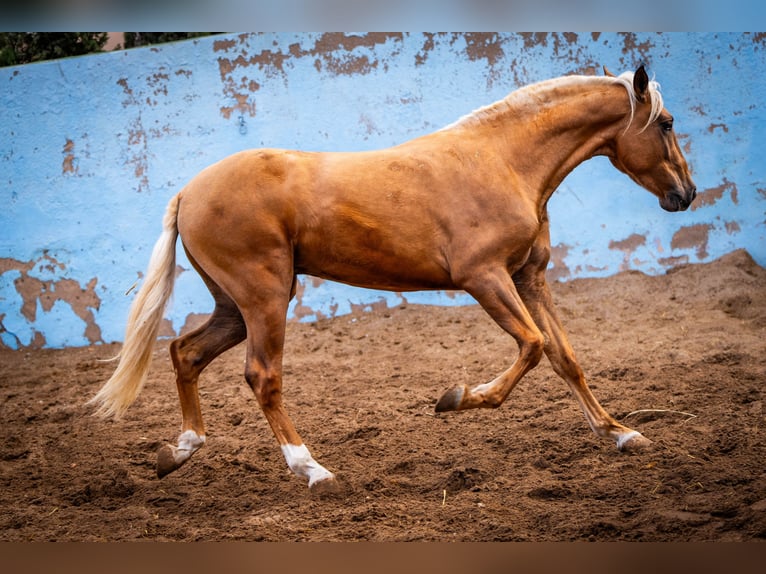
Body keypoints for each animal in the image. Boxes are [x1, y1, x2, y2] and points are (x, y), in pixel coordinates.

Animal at [88, 66, 696, 490]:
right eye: (666, 124)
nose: (686, 194)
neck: (501, 161)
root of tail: (187, 193)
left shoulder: (530, 279)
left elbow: (565, 357)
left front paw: (621, 434)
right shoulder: (485, 278)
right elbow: (531, 345)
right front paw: (456, 398)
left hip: (235, 307)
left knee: (185, 353)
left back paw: (180, 451)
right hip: (264, 299)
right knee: (262, 376)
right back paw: (314, 471)